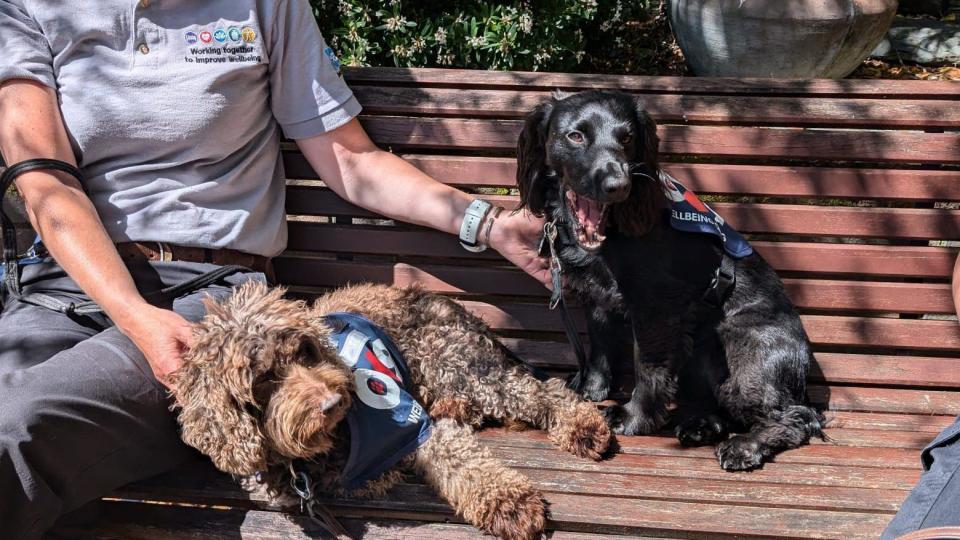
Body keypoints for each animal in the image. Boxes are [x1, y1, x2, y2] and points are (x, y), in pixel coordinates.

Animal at [172, 280, 608, 536]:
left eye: (305, 351)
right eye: (263, 378)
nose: (333, 403)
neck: (324, 449)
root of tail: (452, 304)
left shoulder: (413, 424)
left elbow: (465, 464)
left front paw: (511, 504)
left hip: (456, 364)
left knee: (541, 391)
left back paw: (582, 426)